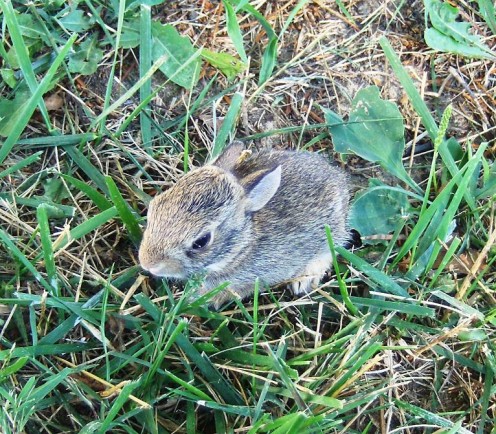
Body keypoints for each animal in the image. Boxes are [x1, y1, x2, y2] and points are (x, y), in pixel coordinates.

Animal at [138, 142, 350, 308]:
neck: (243, 245)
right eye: (155, 207)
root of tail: (337, 178)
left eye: (201, 241)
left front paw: (196, 300)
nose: (147, 263)